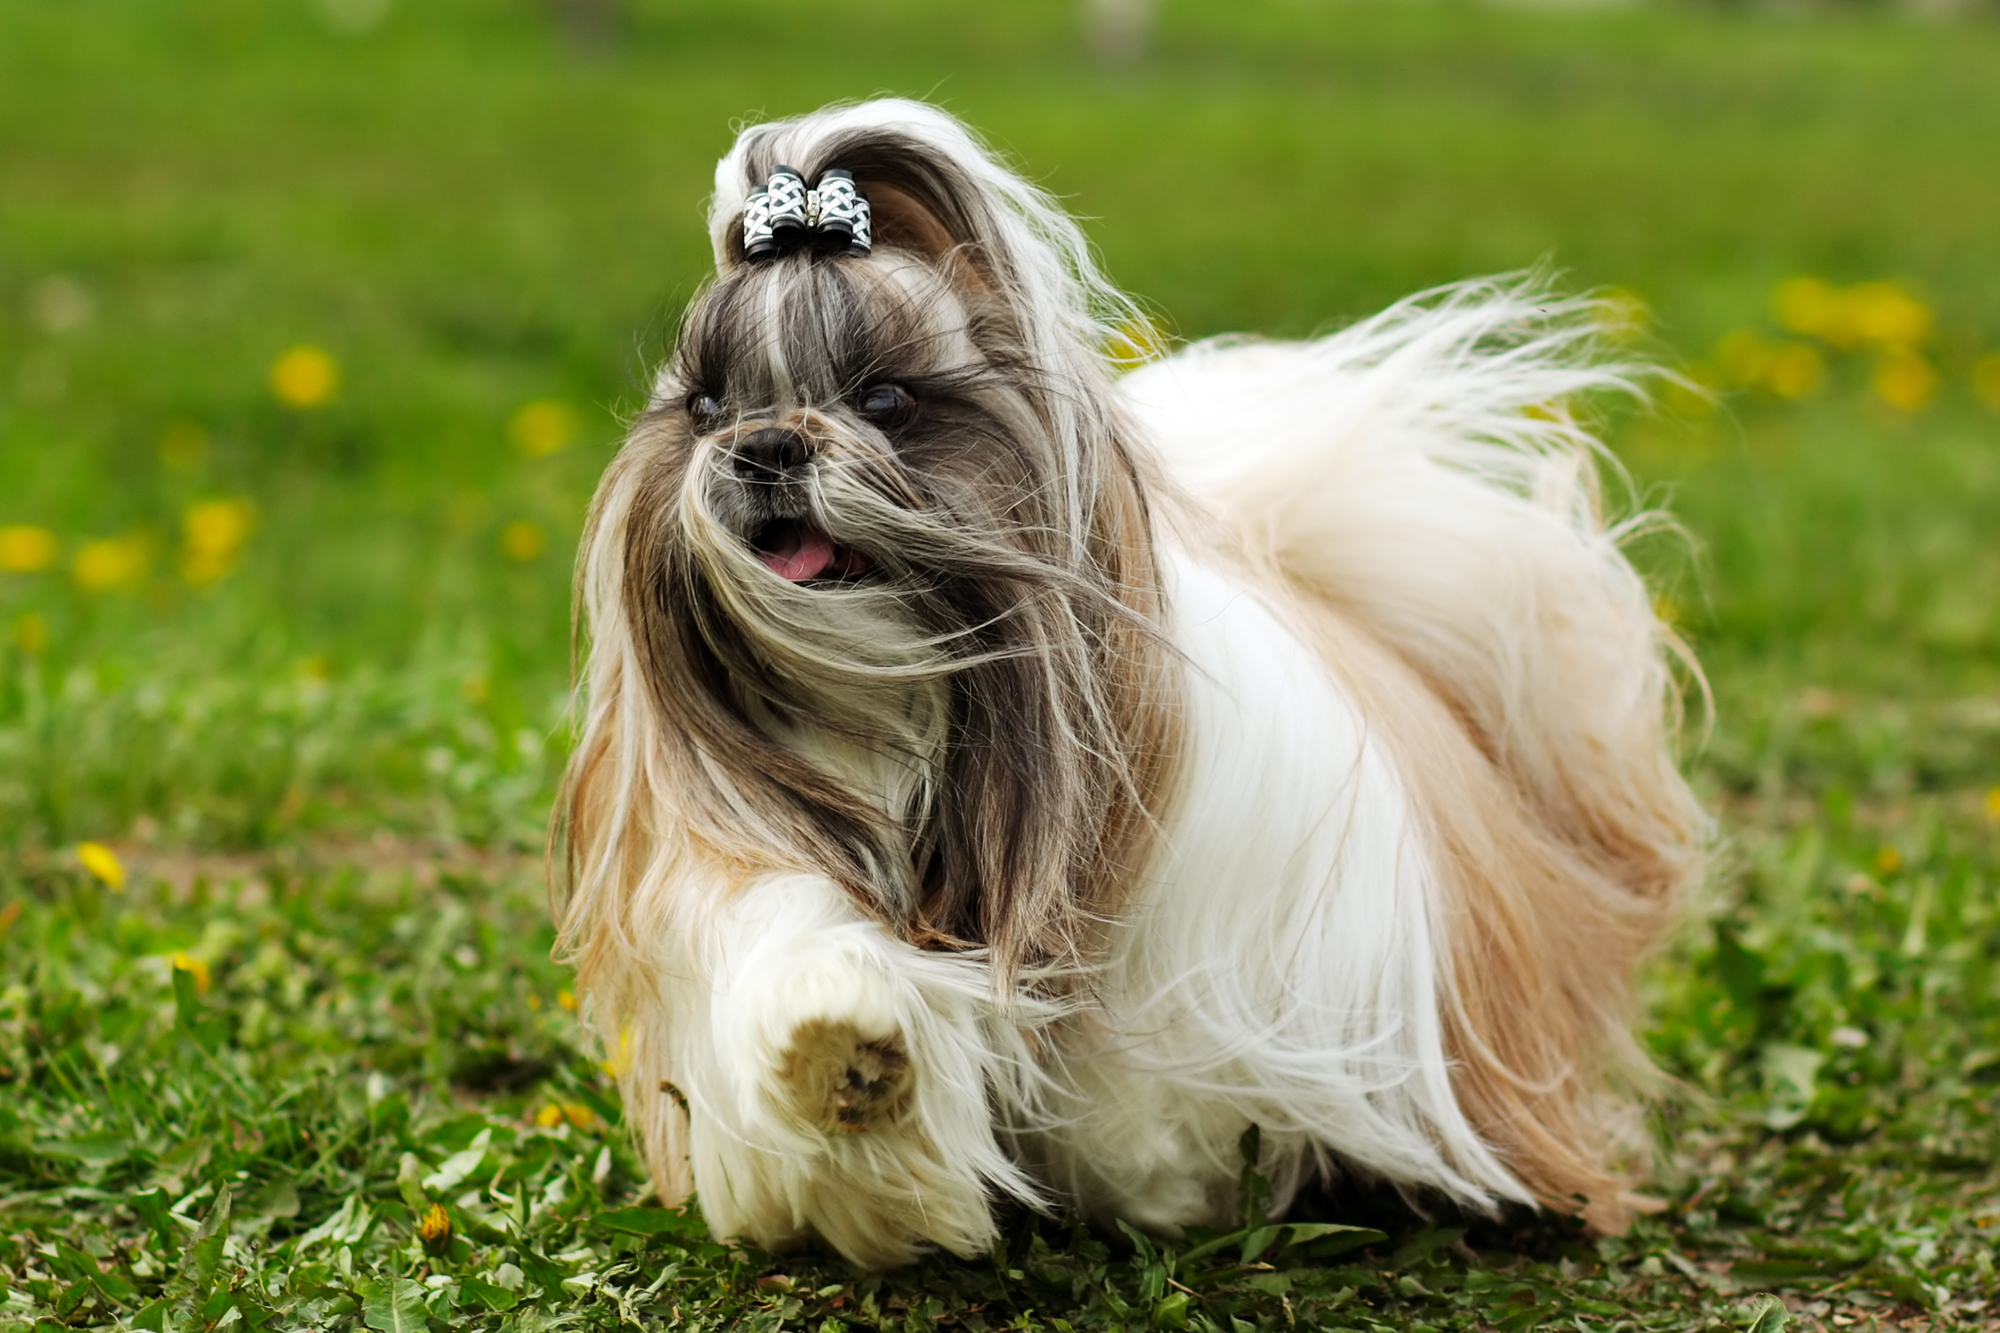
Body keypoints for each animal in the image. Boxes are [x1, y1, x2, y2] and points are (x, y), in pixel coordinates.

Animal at [556, 98, 1712, 1264]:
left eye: (885, 398)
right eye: (707, 407)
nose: (762, 447)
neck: (905, 706)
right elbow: (801, 957)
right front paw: (848, 1048)